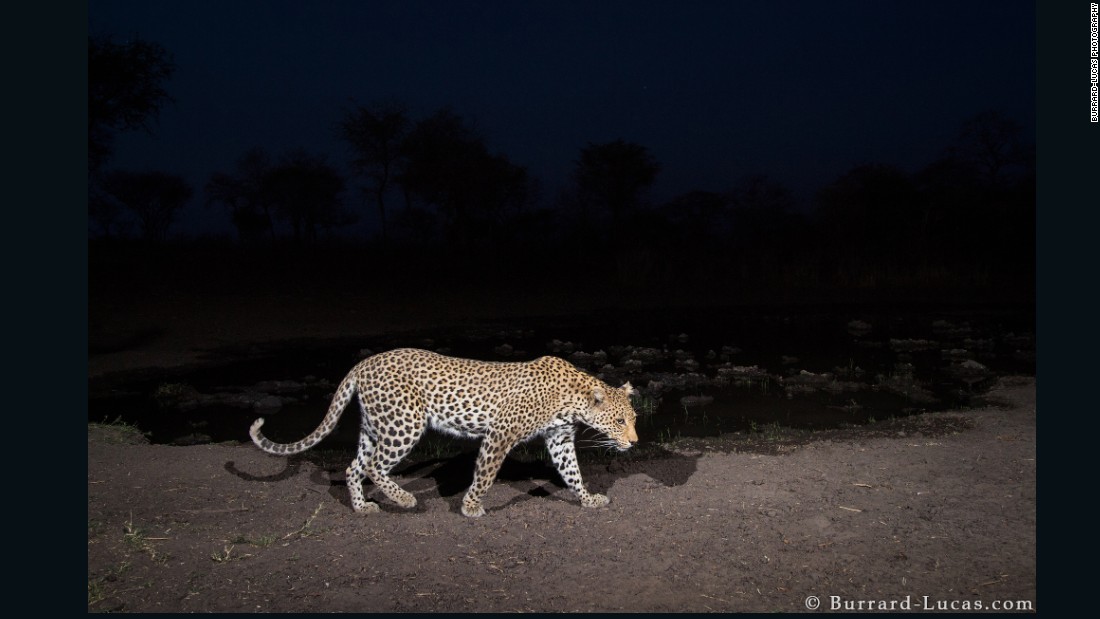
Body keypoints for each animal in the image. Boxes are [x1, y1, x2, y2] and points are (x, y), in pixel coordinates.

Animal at [250, 349, 642, 518]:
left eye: (634, 418)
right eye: (620, 421)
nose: (635, 441)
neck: (572, 400)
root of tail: (362, 363)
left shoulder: (559, 438)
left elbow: (572, 472)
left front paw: (588, 499)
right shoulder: (500, 434)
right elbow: (484, 475)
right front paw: (471, 506)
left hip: (375, 427)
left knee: (354, 467)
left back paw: (362, 507)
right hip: (405, 423)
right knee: (375, 466)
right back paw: (405, 500)